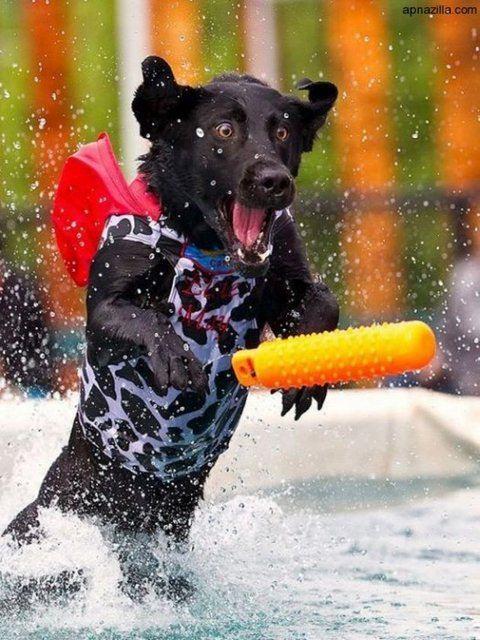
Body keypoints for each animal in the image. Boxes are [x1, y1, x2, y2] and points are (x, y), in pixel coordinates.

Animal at [3, 57, 339, 600]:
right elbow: (145, 319)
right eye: (224, 130)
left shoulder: (287, 269)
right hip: (52, 519)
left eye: (283, 131)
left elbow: (323, 304)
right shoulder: (107, 311)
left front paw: (309, 372)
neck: (206, 249)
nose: (274, 181)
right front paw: (177, 356)